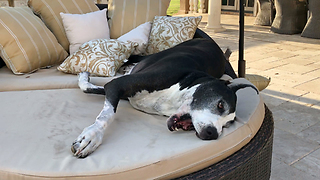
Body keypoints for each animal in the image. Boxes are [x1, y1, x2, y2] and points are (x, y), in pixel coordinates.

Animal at [70, 38, 258, 158]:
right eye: (220, 105)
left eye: (227, 124)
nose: (213, 133)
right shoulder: (117, 85)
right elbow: (106, 115)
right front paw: (92, 137)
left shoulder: (117, 90)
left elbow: (89, 89)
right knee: (131, 58)